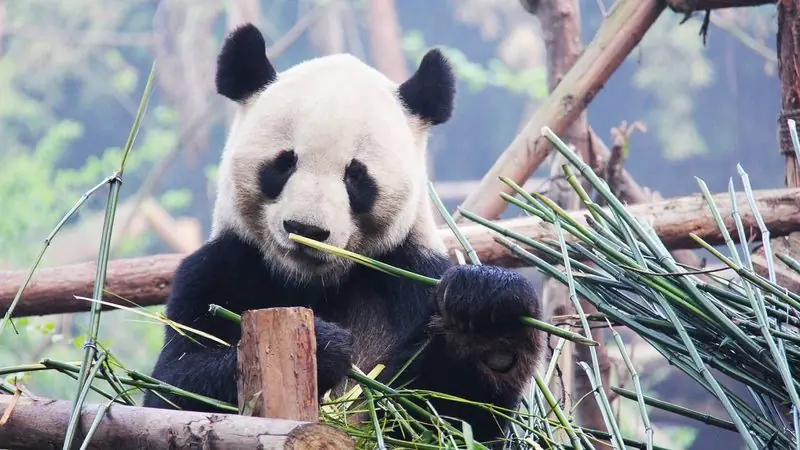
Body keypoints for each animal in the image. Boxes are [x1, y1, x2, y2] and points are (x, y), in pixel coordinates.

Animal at [143, 23, 544, 446]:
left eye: (356, 175)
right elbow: (172, 390)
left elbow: (450, 419)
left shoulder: (411, 277)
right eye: (284, 163)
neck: (314, 283)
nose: (305, 229)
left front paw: (489, 318)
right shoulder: (218, 270)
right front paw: (324, 347)